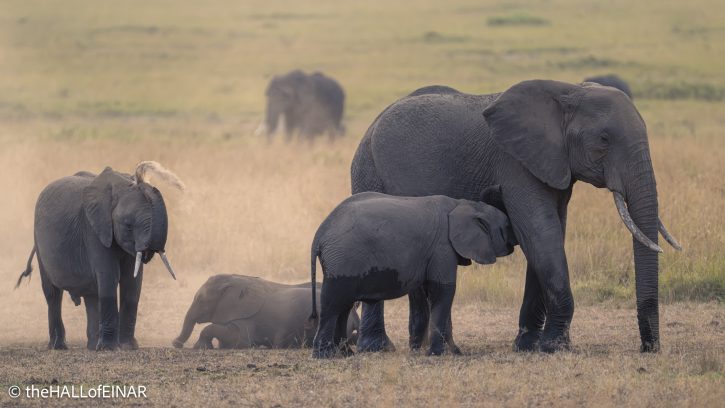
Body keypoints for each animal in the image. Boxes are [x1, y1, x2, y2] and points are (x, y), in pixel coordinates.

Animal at [15, 162, 183, 351]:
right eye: (128, 226)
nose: (140, 175)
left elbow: (132, 283)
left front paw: (128, 347)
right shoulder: (94, 230)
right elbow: (110, 277)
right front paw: (110, 349)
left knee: (91, 296)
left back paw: (92, 346)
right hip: (38, 242)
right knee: (53, 294)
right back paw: (59, 346)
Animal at [310, 190, 516, 358]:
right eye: (507, 226)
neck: (464, 204)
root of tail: (319, 235)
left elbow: (434, 294)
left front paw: (454, 352)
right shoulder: (442, 247)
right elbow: (443, 291)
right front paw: (437, 354)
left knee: (343, 307)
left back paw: (345, 354)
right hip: (342, 260)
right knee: (332, 305)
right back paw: (324, 356)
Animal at [350, 80, 681, 353]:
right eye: (603, 139)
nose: (648, 349)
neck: (569, 91)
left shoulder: (553, 166)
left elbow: (550, 234)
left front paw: (528, 346)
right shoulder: (515, 165)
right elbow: (539, 232)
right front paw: (554, 348)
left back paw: (422, 347)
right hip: (368, 172)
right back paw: (379, 348)